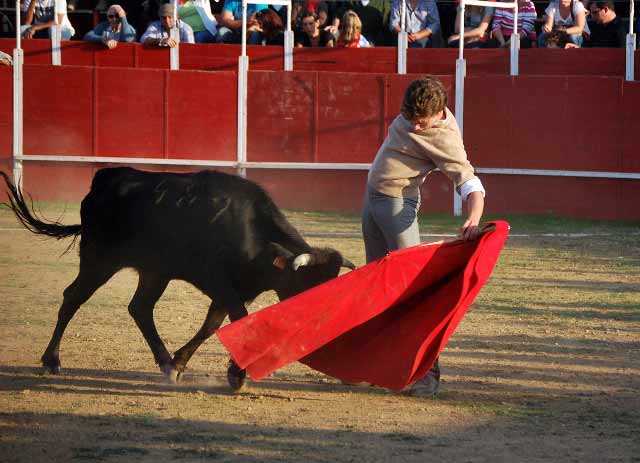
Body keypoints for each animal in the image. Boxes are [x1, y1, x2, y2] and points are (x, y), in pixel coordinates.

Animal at [0, 168, 356, 392]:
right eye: (307, 287)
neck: (255, 236)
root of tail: (104, 181)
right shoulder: (220, 283)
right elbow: (239, 320)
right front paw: (237, 374)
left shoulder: (234, 290)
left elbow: (212, 325)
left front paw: (182, 363)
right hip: (98, 261)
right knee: (73, 297)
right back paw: (51, 361)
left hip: (154, 272)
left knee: (139, 308)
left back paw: (165, 363)